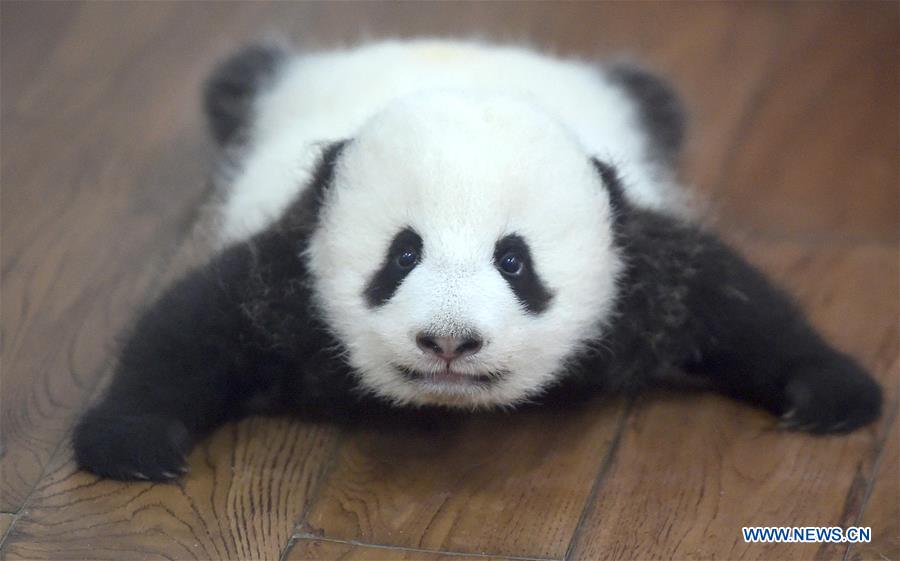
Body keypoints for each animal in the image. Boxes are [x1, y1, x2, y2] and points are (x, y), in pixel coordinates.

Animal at [73, 39, 882, 482]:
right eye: (402, 254)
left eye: (514, 262)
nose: (449, 341)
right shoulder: (289, 273)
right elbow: (191, 326)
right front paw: (130, 439)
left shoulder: (640, 272)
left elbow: (733, 300)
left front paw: (830, 391)